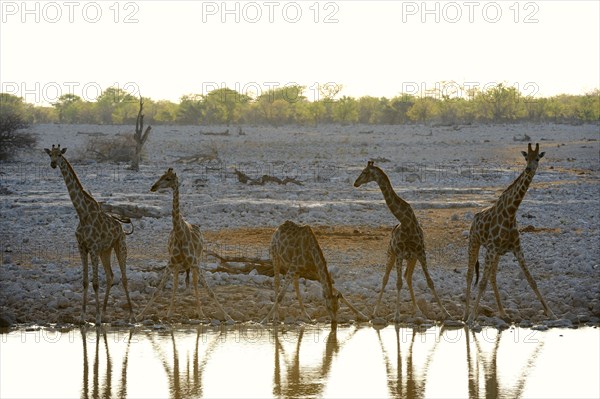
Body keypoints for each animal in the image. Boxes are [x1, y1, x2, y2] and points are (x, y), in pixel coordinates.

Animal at [43, 145, 134, 324]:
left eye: (60, 155)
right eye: (50, 155)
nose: (53, 164)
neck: (82, 214)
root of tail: (121, 227)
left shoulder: (92, 247)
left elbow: (95, 283)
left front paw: (96, 319)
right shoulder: (82, 247)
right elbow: (85, 282)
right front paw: (83, 317)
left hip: (120, 246)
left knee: (125, 278)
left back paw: (132, 316)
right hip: (105, 251)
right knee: (110, 276)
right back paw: (105, 313)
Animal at [137, 168, 233, 322]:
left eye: (168, 178)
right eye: (161, 176)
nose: (153, 187)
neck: (180, 234)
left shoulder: (195, 263)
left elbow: (209, 291)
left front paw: (228, 316)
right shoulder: (171, 263)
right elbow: (158, 290)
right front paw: (139, 315)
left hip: (196, 261)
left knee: (194, 283)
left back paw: (200, 313)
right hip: (178, 266)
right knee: (176, 284)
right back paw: (170, 312)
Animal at [352, 162, 450, 322]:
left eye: (365, 172)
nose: (356, 183)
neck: (406, 222)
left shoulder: (421, 252)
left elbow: (430, 281)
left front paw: (446, 313)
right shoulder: (399, 253)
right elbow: (398, 284)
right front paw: (396, 316)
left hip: (412, 258)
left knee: (408, 277)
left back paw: (417, 311)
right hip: (390, 254)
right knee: (385, 279)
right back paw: (375, 312)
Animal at [464, 144, 556, 324]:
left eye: (537, 158)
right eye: (526, 157)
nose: (528, 169)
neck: (511, 213)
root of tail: (475, 218)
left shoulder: (516, 248)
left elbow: (531, 280)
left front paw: (551, 313)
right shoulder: (492, 248)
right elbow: (482, 283)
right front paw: (471, 318)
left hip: (496, 253)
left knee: (492, 276)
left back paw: (503, 313)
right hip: (475, 243)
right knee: (470, 275)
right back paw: (465, 314)